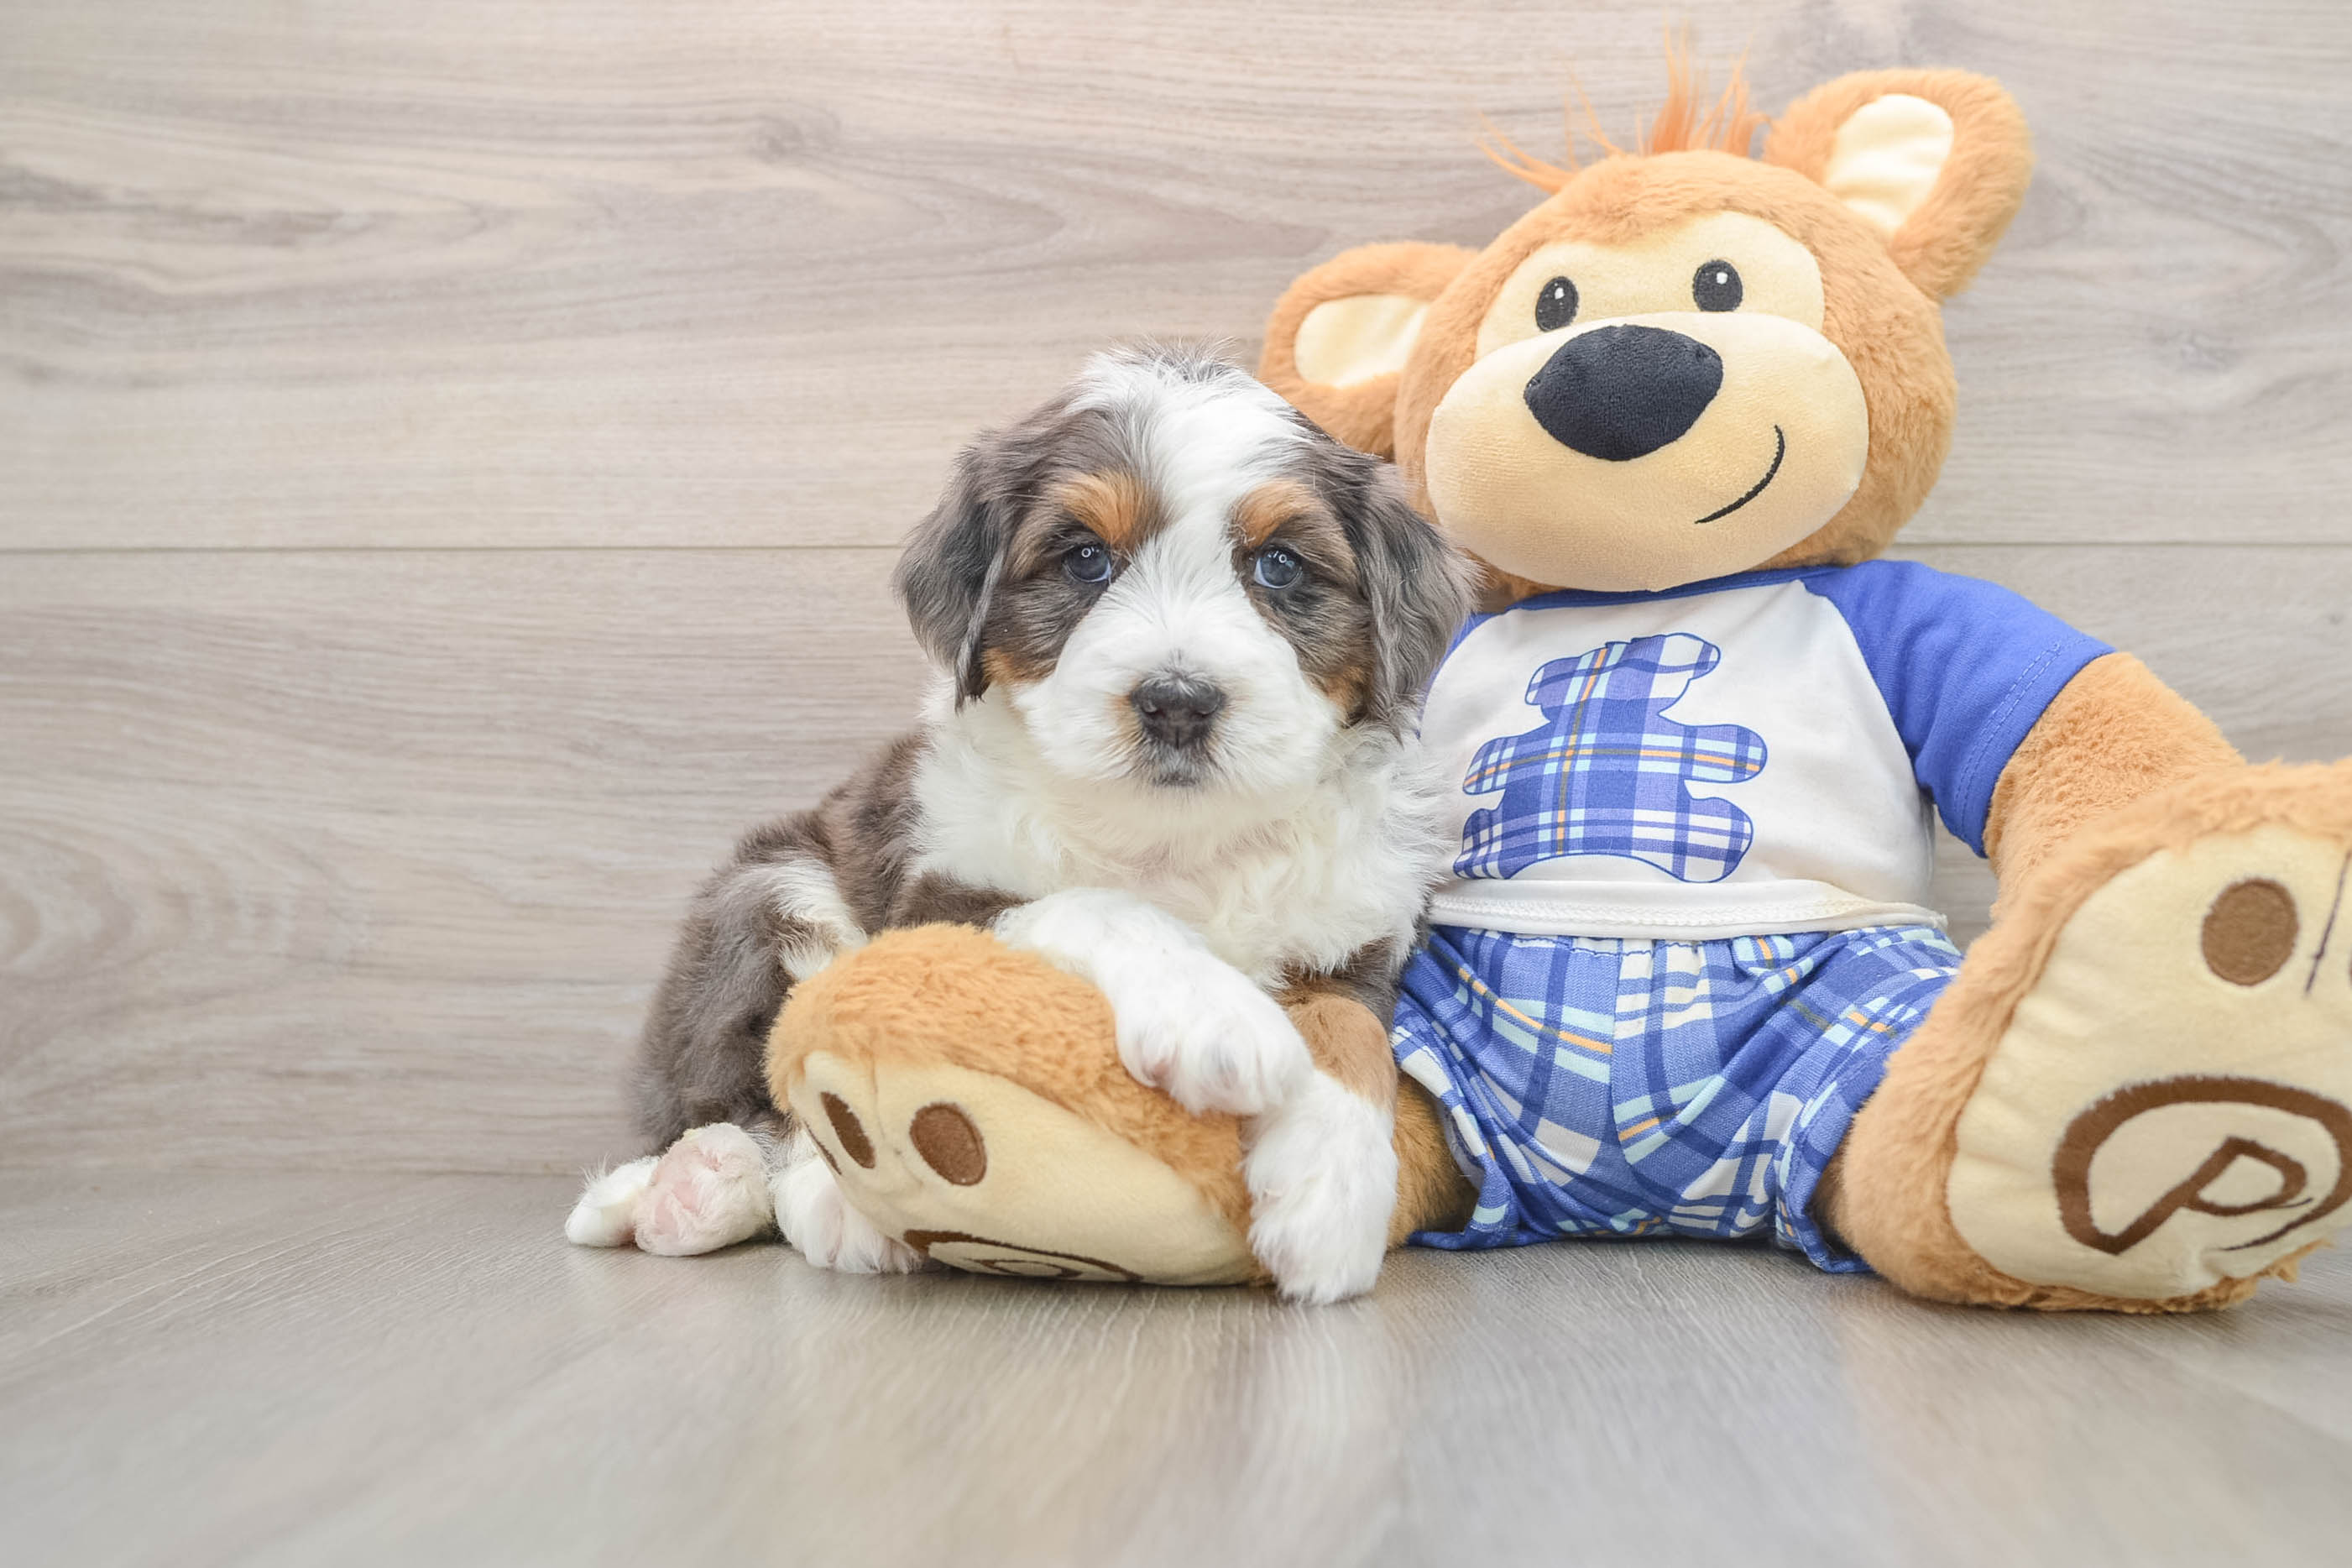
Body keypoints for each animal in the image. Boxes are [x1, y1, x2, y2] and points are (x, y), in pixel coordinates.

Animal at [566, 345, 1472, 1301]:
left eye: (1282, 567)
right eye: (1085, 559)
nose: (1178, 702)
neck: (1177, 837)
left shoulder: (1353, 937)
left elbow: (1350, 1033)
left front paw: (1330, 1196)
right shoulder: (940, 895)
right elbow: (1095, 903)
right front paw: (1214, 1018)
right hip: (770, 886)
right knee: (759, 1091)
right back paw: (750, 1196)